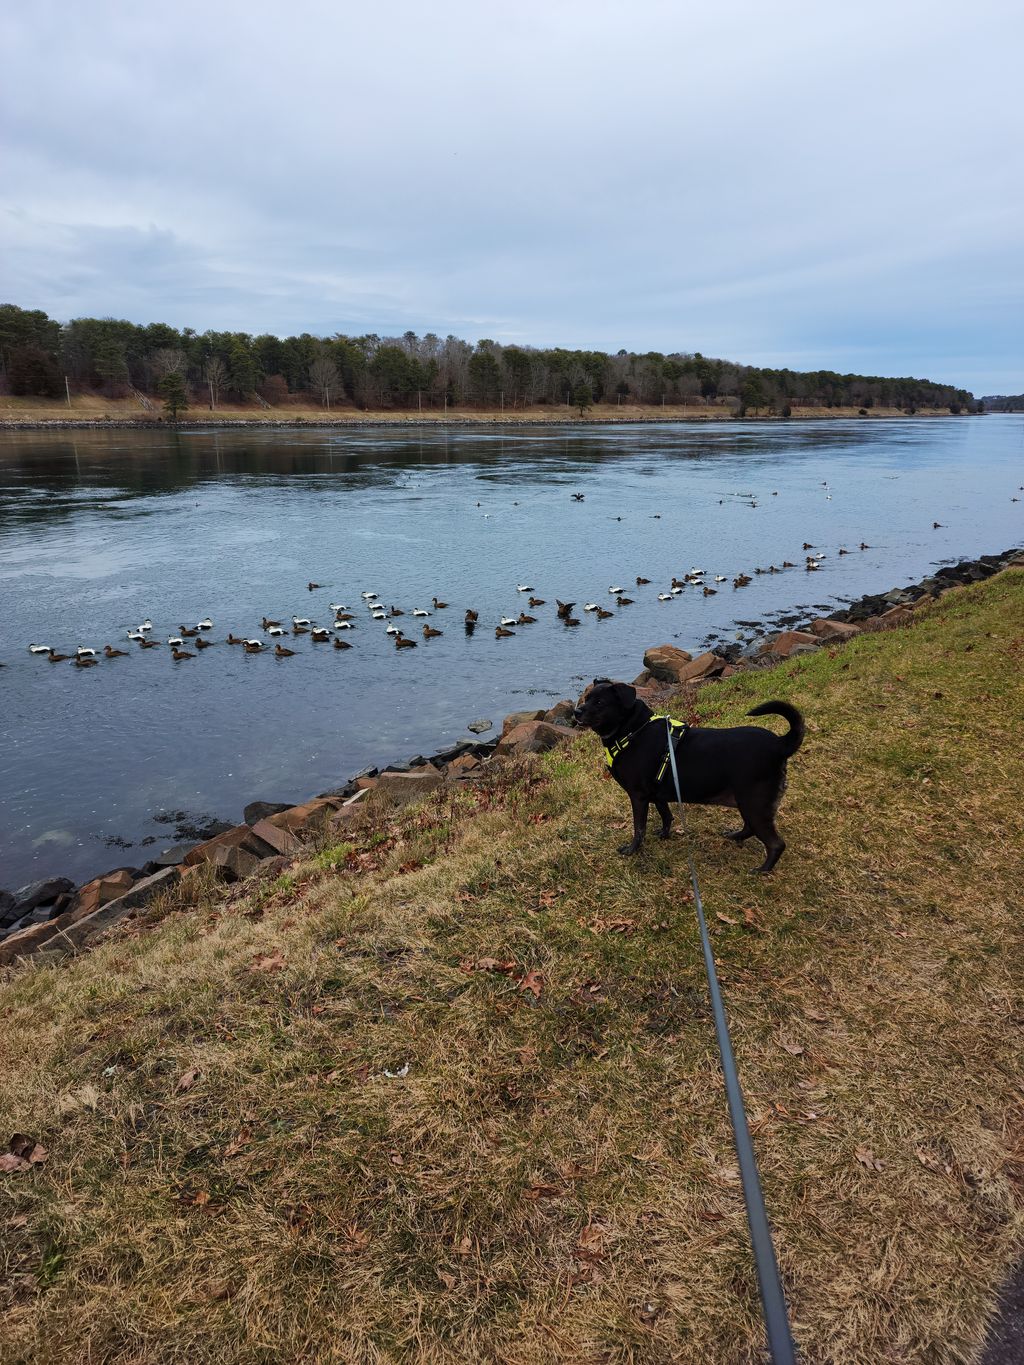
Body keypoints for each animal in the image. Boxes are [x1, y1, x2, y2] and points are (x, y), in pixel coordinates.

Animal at [573, 679, 808, 873]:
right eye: (586, 698)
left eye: (600, 702)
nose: (576, 712)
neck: (633, 730)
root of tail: (779, 744)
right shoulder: (656, 793)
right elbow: (666, 814)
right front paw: (664, 834)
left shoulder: (638, 796)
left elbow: (639, 827)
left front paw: (632, 850)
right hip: (748, 803)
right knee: (750, 827)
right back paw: (735, 837)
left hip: (754, 803)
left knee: (775, 843)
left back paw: (763, 870)